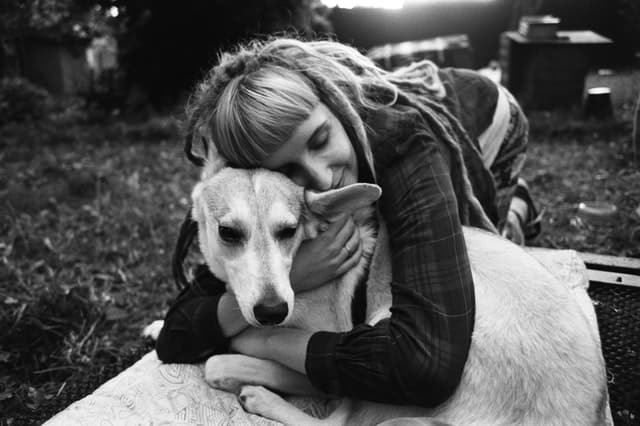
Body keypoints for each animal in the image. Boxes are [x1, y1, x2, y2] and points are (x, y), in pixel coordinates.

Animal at [146, 151, 608, 426]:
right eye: (228, 232)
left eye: (288, 231)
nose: (273, 311)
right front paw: (157, 327)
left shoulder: (322, 341)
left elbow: (228, 355)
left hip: (388, 324)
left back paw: (262, 398)